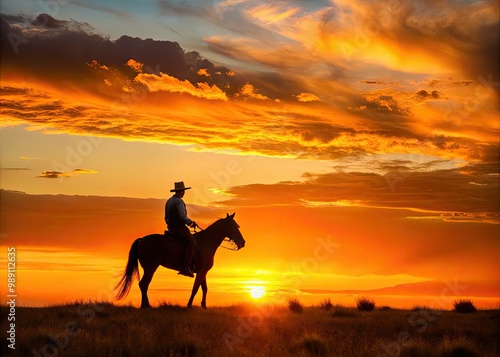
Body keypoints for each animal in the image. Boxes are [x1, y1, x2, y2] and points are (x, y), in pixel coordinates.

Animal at [114, 213, 246, 308]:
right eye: (234, 226)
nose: (243, 242)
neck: (207, 242)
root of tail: (142, 240)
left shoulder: (203, 272)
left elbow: (204, 288)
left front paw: (203, 306)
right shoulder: (201, 272)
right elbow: (195, 288)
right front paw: (189, 305)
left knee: (143, 285)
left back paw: (145, 305)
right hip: (150, 268)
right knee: (143, 284)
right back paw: (146, 305)